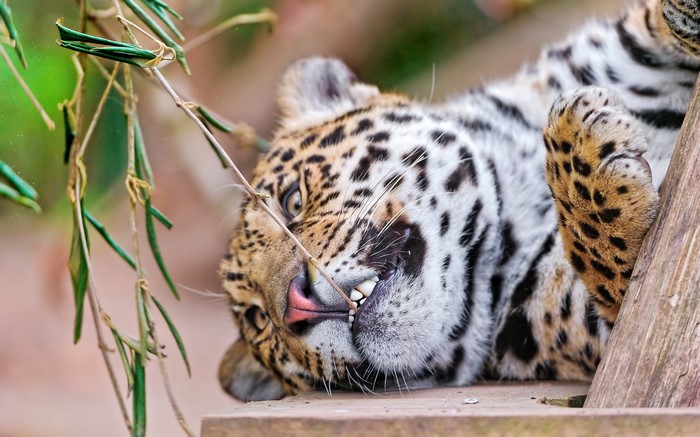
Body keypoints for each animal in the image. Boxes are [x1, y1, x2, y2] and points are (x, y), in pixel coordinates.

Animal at [218, 0, 700, 401]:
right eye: (259, 321)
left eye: (292, 200)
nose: (296, 306)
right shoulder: (607, 330)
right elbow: (620, 271)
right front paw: (579, 135)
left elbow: (650, 22)